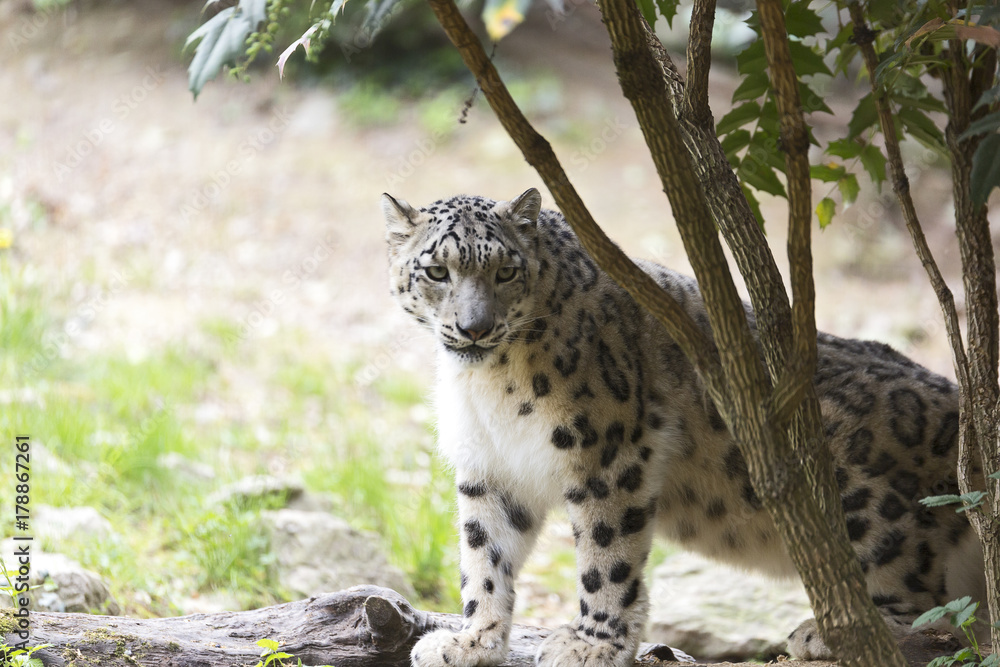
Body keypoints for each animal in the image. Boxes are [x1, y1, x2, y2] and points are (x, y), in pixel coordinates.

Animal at [381, 187, 988, 666]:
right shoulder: (491, 470)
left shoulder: (607, 453)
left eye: (505, 271)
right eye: (437, 271)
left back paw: (826, 634)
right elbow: (484, 556)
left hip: (869, 502)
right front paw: (470, 642)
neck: (488, 385)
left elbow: (605, 555)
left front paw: (593, 644)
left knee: (925, 610)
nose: (474, 328)